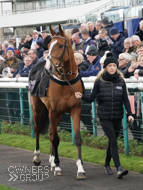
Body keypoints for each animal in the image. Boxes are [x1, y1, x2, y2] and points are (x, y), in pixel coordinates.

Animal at [28, 24, 85, 178]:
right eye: (48, 45)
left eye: (60, 45)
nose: (48, 68)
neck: (66, 81)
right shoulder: (53, 111)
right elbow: (56, 139)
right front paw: (58, 166)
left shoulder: (75, 109)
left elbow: (77, 138)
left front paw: (80, 169)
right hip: (38, 108)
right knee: (37, 129)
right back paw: (37, 158)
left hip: (57, 115)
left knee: (50, 133)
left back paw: (52, 161)